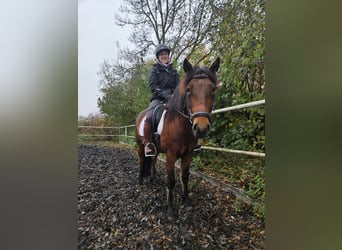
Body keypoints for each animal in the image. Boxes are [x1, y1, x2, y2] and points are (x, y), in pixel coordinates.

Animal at [135, 57, 220, 218]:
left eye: (213, 89)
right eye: (188, 90)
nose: (201, 128)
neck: (179, 125)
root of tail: (140, 115)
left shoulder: (188, 153)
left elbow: (185, 176)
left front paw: (186, 199)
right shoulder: (170, 155)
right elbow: (171, 181)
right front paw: (170, 209)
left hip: (156, 149)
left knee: (153, 161)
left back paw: (153, 179)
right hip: (140, 145)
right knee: (142, 161)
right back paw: (140, 180)